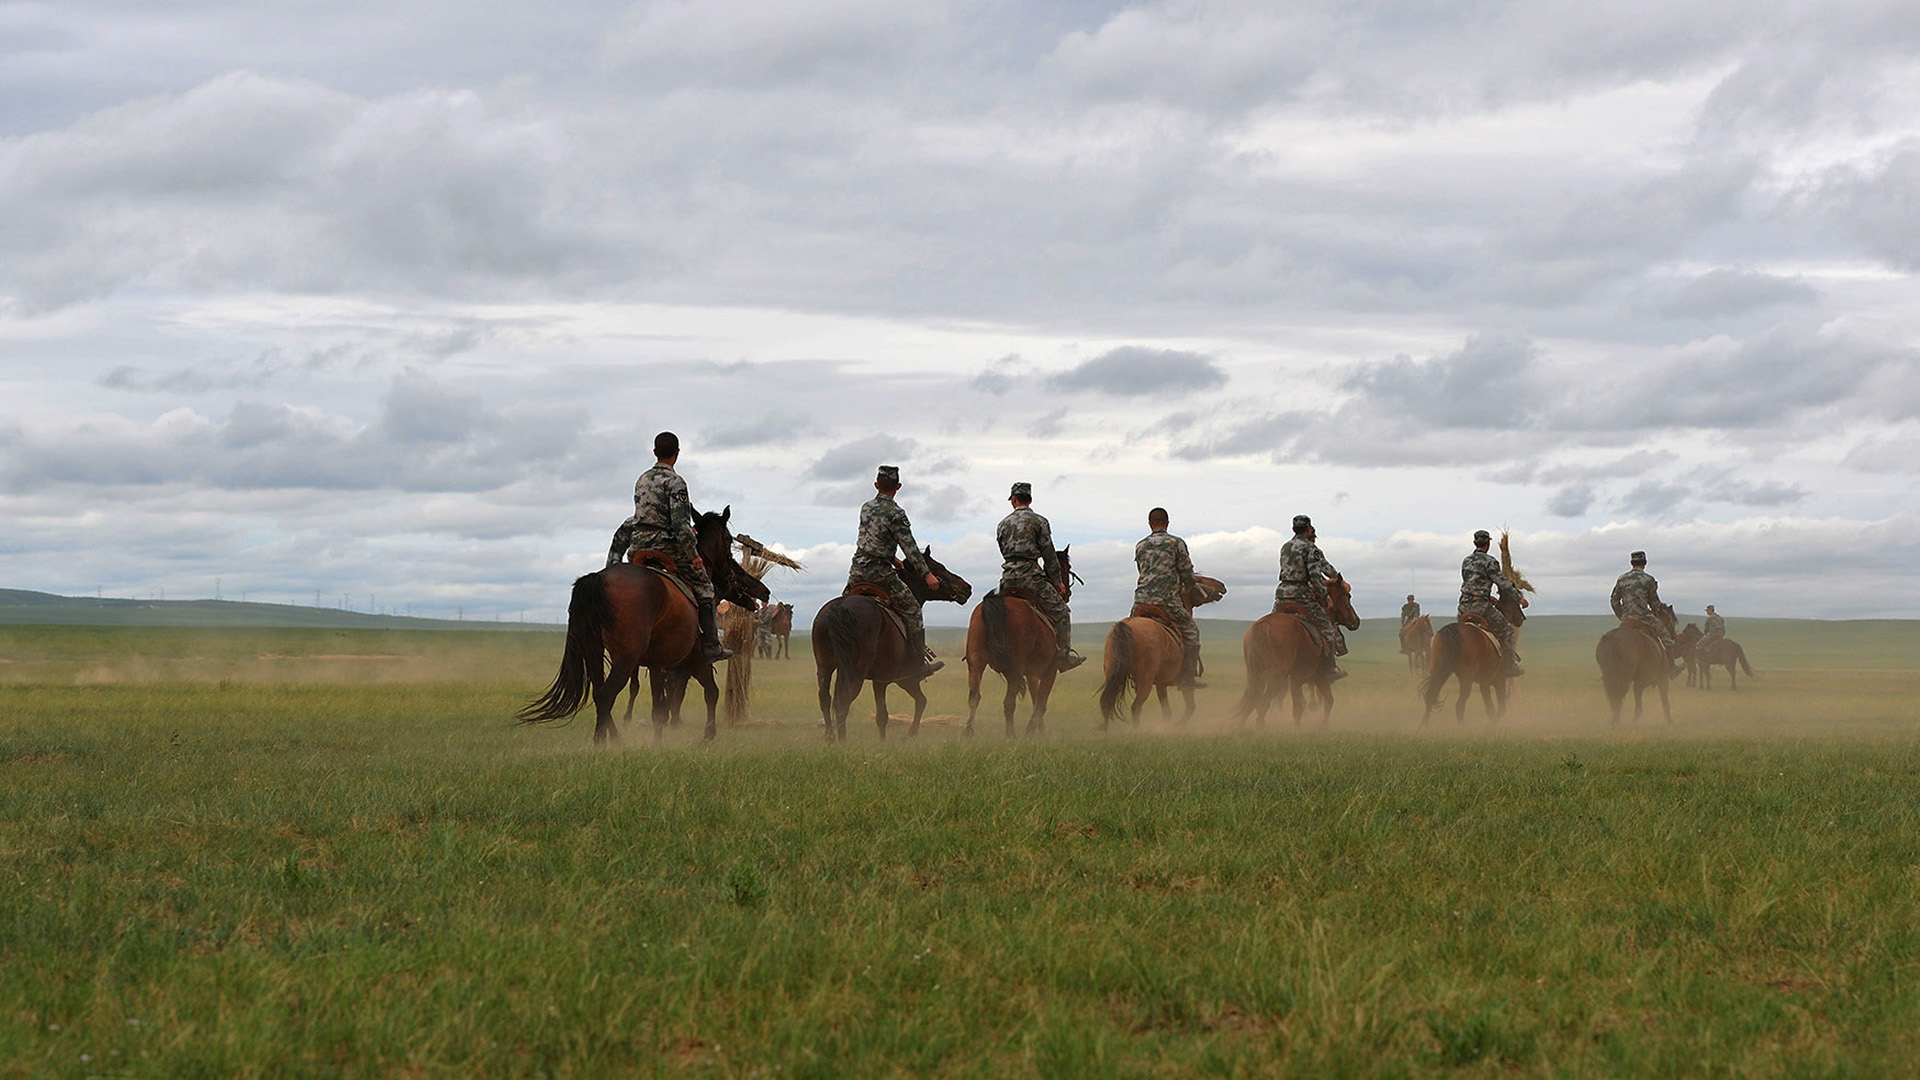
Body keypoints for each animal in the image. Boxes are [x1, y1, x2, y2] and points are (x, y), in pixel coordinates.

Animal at [522, 503, 775, 737]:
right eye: (729, 543)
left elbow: (660, 707)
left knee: (600, 694)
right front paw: (706, 734)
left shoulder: (658, 664)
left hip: (595, 651)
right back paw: (607, 743)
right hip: (626, 658)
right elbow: (706, 693)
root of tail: (599, 579)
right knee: (606, 696)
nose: (764, 591)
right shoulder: (696, 661)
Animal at [806, 545, 967, 737]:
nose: (967, 588)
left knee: (825, 698)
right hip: (855, 673)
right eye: (939, 568)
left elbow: (919, 701)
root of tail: (839, 608)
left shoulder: (899, 680)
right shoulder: (894, 679)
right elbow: (886, 715)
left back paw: (830, 737)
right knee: (842, 703)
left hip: (825, 666)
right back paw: (841, 740)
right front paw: (905, 735)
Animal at [960, 541, 1082, 734]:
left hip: (976, 662)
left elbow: (1035, 699)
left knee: (974, 697)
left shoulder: (1030, 673)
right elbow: (1041, 704)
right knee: (1009, 702)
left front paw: (1040, 731)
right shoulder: (1050, 670)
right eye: (1067, 567)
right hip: (1014, 667)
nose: (1066, 593)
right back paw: (1011, 735)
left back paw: (968, 733)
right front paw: (1031, 731)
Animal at [1228, 576, 1367, 726]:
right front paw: (1322, 726)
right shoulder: (1319, 678)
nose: (1355, 620)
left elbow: (1299, 707)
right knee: (1263, 702)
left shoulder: (1296, 679)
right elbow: (1327, 701)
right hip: (1276, 675)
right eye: (1347, 595)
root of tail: (1263, 626)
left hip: (1256, 673)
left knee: (1253, 700)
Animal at [1413, 580, 1528, 722]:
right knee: (1459, 705)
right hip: (1465, 678)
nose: (1522, 618)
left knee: (1431, 696)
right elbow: (1500, 709)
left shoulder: (1484, 683)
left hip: (1439, 669)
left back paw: (1424, 725)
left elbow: (1490, 709)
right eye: (1516, 600)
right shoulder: (1499, 681)